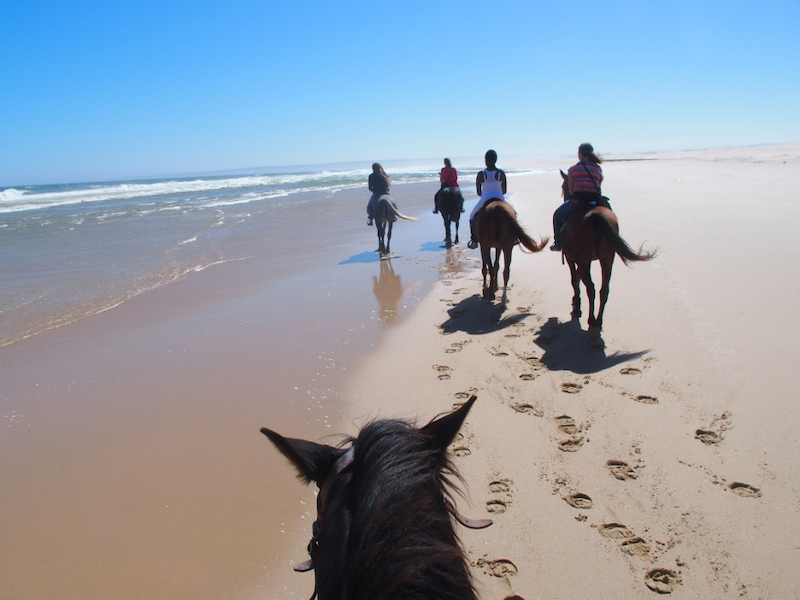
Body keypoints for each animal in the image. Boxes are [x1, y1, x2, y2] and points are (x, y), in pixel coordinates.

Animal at [556, 171, 656, 342]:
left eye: (563, 187)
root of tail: (595, 216)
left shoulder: (571, 258)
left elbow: (574, 280)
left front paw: (576, 306)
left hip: (585, 260)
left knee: (591, 288)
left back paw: (591, 323)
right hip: (608, 259)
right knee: (604, 289)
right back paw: (599, 322)